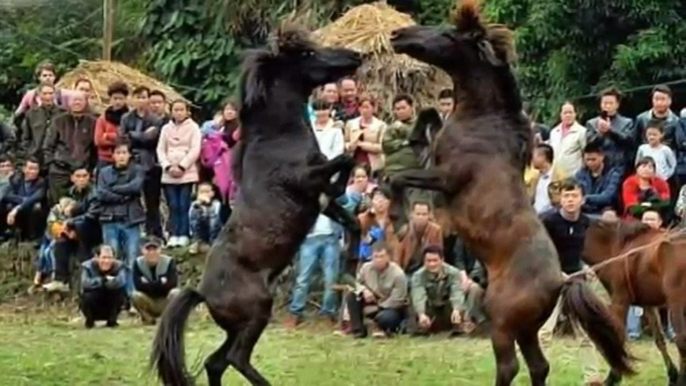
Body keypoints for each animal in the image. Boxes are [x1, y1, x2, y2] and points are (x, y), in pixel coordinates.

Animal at [151, 24, 366, 386]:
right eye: (308, 54)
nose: (356, 54)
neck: (278, 139)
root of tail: (203, 293)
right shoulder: (306, 182)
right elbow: (345, 160)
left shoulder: (318, 203)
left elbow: (352, 219)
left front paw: (352, 267)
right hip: (257, 312)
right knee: (234, 358)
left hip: (237, 326)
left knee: (215, 362)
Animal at [390, 1, 636, 384]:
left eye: (448, 33)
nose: (398, 34)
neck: (482, 120)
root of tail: (560, 281)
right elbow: (427, 117)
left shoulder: (445, 178)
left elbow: (397, 179)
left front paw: (399, 222)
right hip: (527, 328)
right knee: (538, 365)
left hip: (504, 323)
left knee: (510, 366)